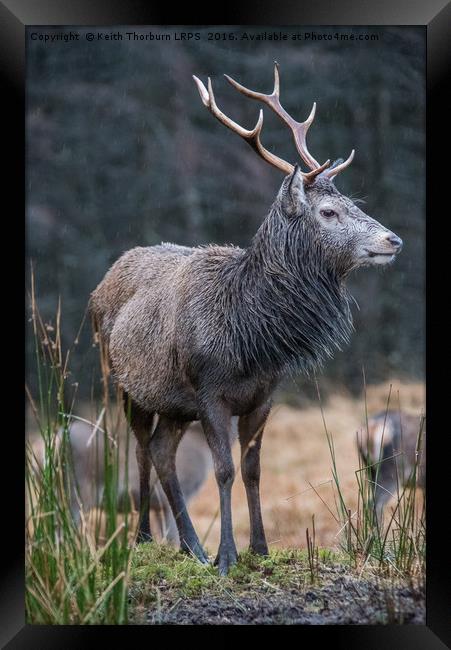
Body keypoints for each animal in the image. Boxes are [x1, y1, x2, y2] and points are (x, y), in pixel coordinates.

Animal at [88, 64, 402, 572]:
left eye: (357, 203)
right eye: (329, 211)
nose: (394, 240)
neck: (250, 337)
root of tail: (107, 277)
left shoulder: (263, 395)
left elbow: (253, 470)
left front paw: (258, 548)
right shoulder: (209, 392)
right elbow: (224, 469)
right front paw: (228, 557)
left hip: (175, 404)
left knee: (161, 451)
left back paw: (190, 547)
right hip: (121, 380)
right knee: (138, 447)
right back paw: (143, 541)